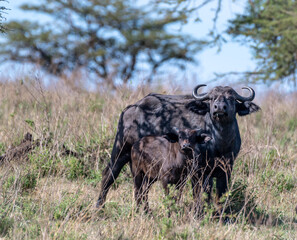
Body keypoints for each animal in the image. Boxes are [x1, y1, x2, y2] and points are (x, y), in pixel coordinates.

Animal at [96, 85, 260, 208]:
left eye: (231, 98)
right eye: (212, 98)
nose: (219, 107)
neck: (220, 142)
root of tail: (130, 108)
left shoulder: (226, 168)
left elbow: (221, 194)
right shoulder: (198, 170)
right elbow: (200, 192)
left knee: (143, 187)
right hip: (121, 151)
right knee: (109, 174)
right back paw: (99, 207)